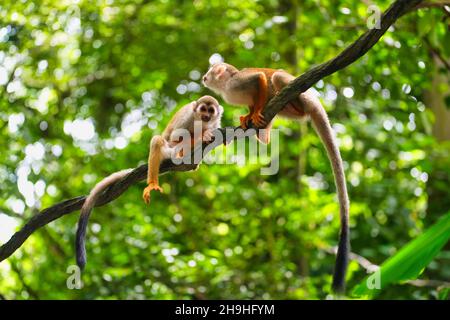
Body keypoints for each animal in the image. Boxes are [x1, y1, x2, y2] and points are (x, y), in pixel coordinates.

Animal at [75, 95, 223, 270]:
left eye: (211, 111)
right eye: (203, 109)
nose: (206, 116)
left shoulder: (216, 122)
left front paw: (207, 133)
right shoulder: (187, 116)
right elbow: (176, 136)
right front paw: (204, 134)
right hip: (169, 151)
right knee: (159, 140)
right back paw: (154, 180)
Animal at [202, 61, 350, 294]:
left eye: (210, 73)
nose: (204, 77)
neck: (226, 86)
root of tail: (315, 102)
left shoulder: (237, 81)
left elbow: (260, 79)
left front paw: (256, 111)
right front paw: (248, 116)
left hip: (304, 97)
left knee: (277, 77)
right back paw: (264, 133)